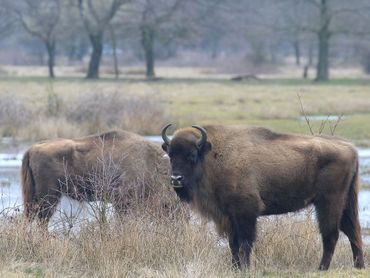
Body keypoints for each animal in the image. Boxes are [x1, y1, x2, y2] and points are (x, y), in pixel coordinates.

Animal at [161, 124, 364, 272]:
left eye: (192, 155)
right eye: (170, 155)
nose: (176, 179)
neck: (212, 155)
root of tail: (351, 148)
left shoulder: (246, 213)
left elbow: (245, 242)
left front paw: (245, 268)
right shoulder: (229, 217)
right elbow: (233, 244)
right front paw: (235, 268)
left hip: (328, 203)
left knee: (331, 233)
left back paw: (322, 268)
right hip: (346, 202)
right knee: (352, 230)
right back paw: (359, 266)